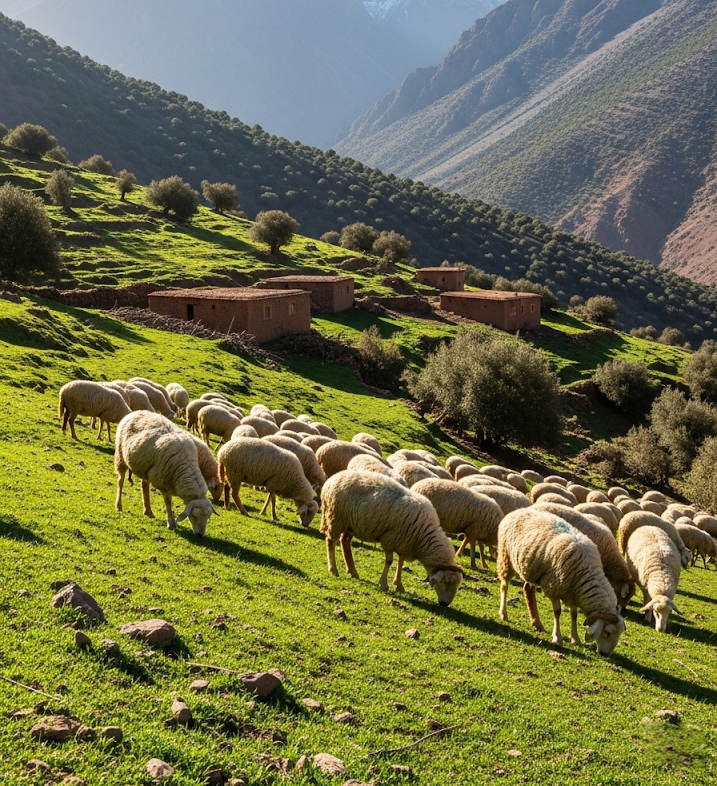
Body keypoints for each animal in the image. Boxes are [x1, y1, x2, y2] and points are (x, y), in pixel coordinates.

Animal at [319, 470, 463, 605]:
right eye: (446, 582)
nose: (445, 604)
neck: (423, 534)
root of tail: (331, 479)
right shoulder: (389, 539)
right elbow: (389, 561)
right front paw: (384, 584)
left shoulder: (404, 543)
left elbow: (400, 562)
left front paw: (399, 585)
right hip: (336, 517)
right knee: (330, 541)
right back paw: (333, 569)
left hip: (350, 524)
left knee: (345, 542)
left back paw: (353, 571)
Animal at [497, 509, 626, 654]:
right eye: (607, 633)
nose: (605, 654)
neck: (586, 574)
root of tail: (516, 511)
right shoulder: (553, 588)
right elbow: (557, 612)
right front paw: (557, 638)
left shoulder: (573, 594)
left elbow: (574, 615)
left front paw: (575, 639)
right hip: (506, 556)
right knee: (504, 586)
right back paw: (504, 614)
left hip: (531, 570)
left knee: (527, 589)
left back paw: (537, 623)